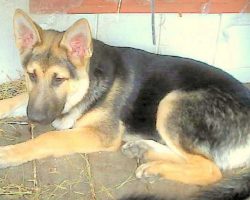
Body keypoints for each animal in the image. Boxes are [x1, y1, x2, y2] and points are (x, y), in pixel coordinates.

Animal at [0, 9, 250, 200]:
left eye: (59, 79)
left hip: (171, 101)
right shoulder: (32, 99)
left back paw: (155, 168)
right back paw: (144, 150)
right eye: (31, 75)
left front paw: (9, 153)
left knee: (210, 168)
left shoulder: (101, 134)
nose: (34, 118)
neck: (87, 85)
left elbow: (49, 138)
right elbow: (14, 100)